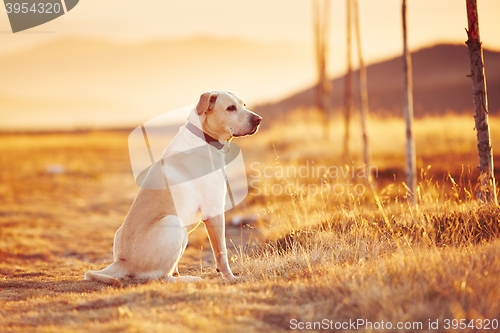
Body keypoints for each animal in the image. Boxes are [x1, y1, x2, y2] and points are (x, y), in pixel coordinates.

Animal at [83, 91, 262, 286]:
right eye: (230, 108)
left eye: (244, 105)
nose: (259, 119)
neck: (203, 138)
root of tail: (121, 262)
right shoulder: (213, 212)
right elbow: (221, 253)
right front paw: (231, 277)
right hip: (173, 222)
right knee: (162, 277)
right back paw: (188, 278)